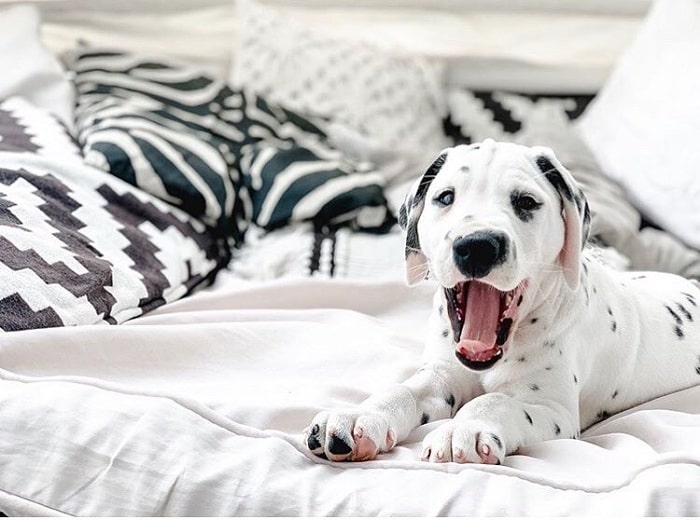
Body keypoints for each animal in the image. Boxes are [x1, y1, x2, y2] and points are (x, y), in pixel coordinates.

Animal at [304, 138, 700, 464]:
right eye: (445, 198)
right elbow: (404, 389)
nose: (477, 244)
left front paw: (464, 428)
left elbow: (495, 401)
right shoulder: (440, 375)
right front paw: (359, 416)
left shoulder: (552, 409)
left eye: (526, 202)